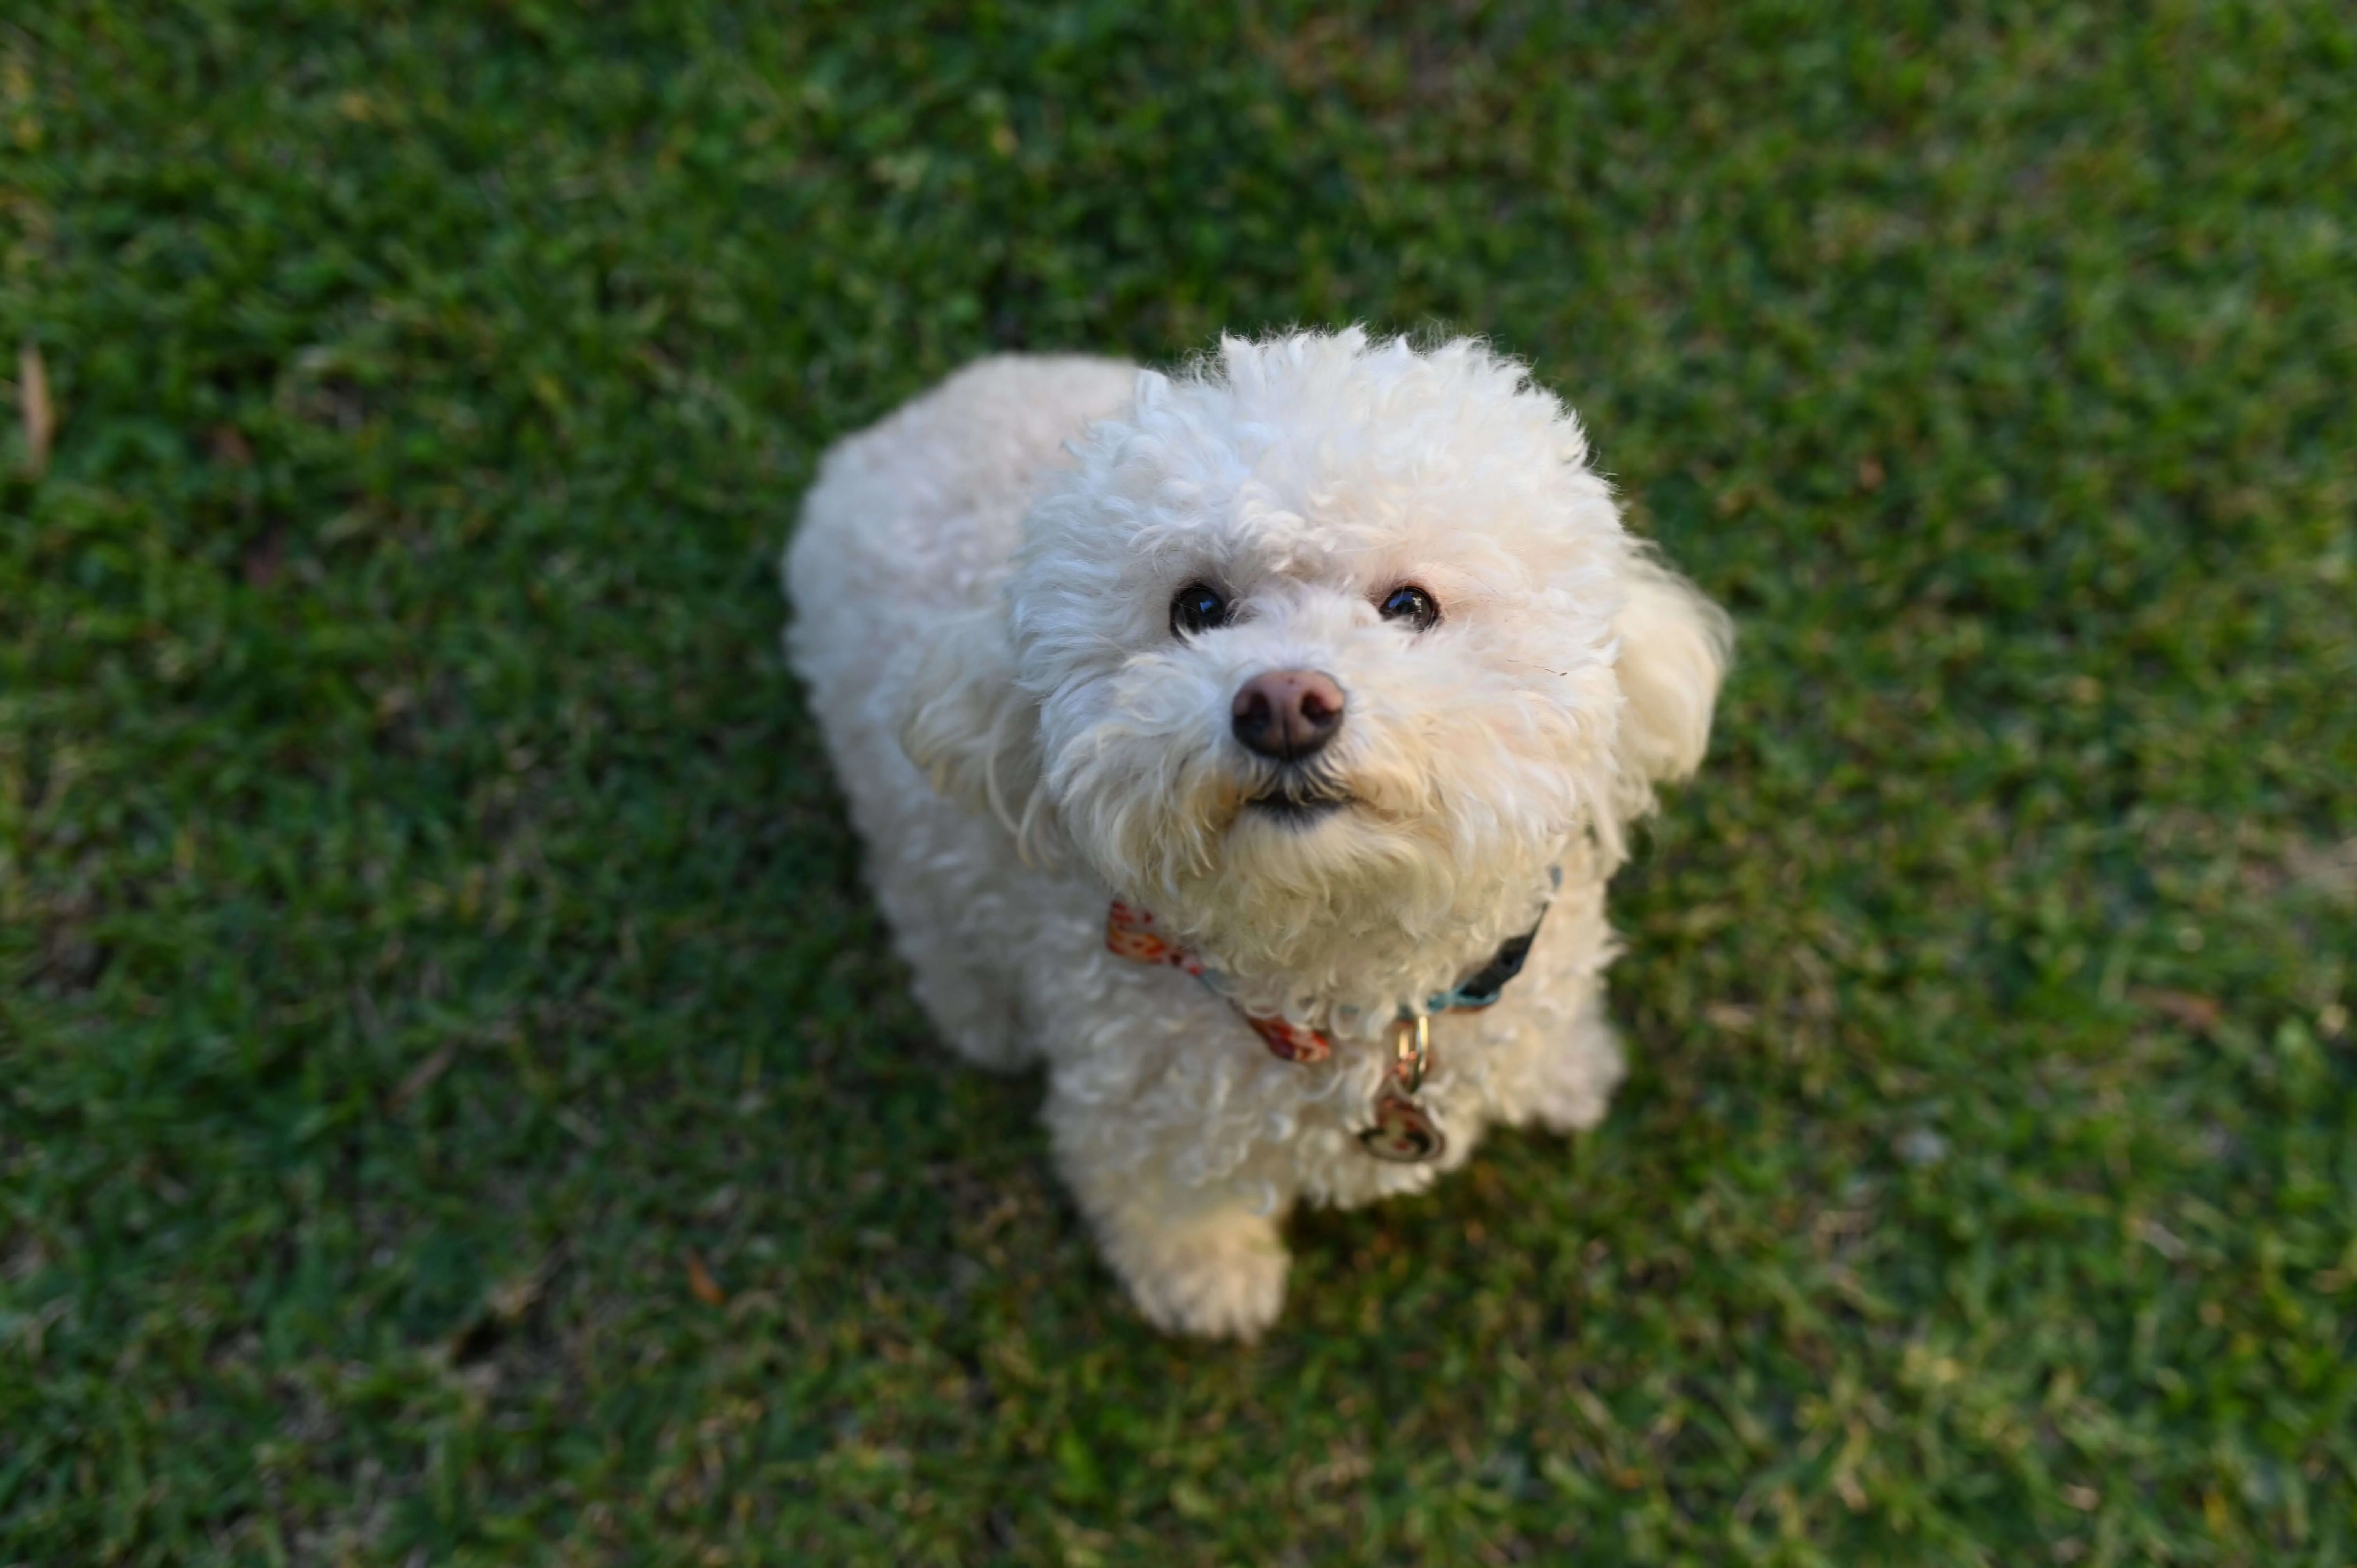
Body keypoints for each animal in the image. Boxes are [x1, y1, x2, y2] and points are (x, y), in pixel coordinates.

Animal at [792, 328, 1735, 1330]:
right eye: (1198, 608)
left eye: (1410, 605)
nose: (1283, 704)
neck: (1347, 983)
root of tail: (898, 428)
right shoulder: (1133, 1113)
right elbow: (1166, 1202)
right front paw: (1208, 1281)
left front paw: (1569, 1070)